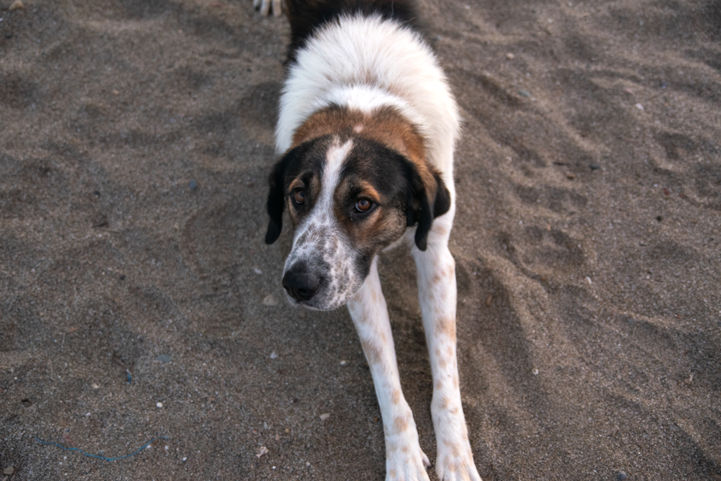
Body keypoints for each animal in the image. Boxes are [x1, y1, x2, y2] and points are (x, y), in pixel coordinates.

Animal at [258, 1, 478, 478]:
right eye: (297, 195)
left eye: (363, 204)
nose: (298, 285)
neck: (365, 87)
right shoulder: (353, 277)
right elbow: (386, 376)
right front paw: (404, 457)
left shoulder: (436, 256)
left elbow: (446, 368)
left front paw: (455, 454)